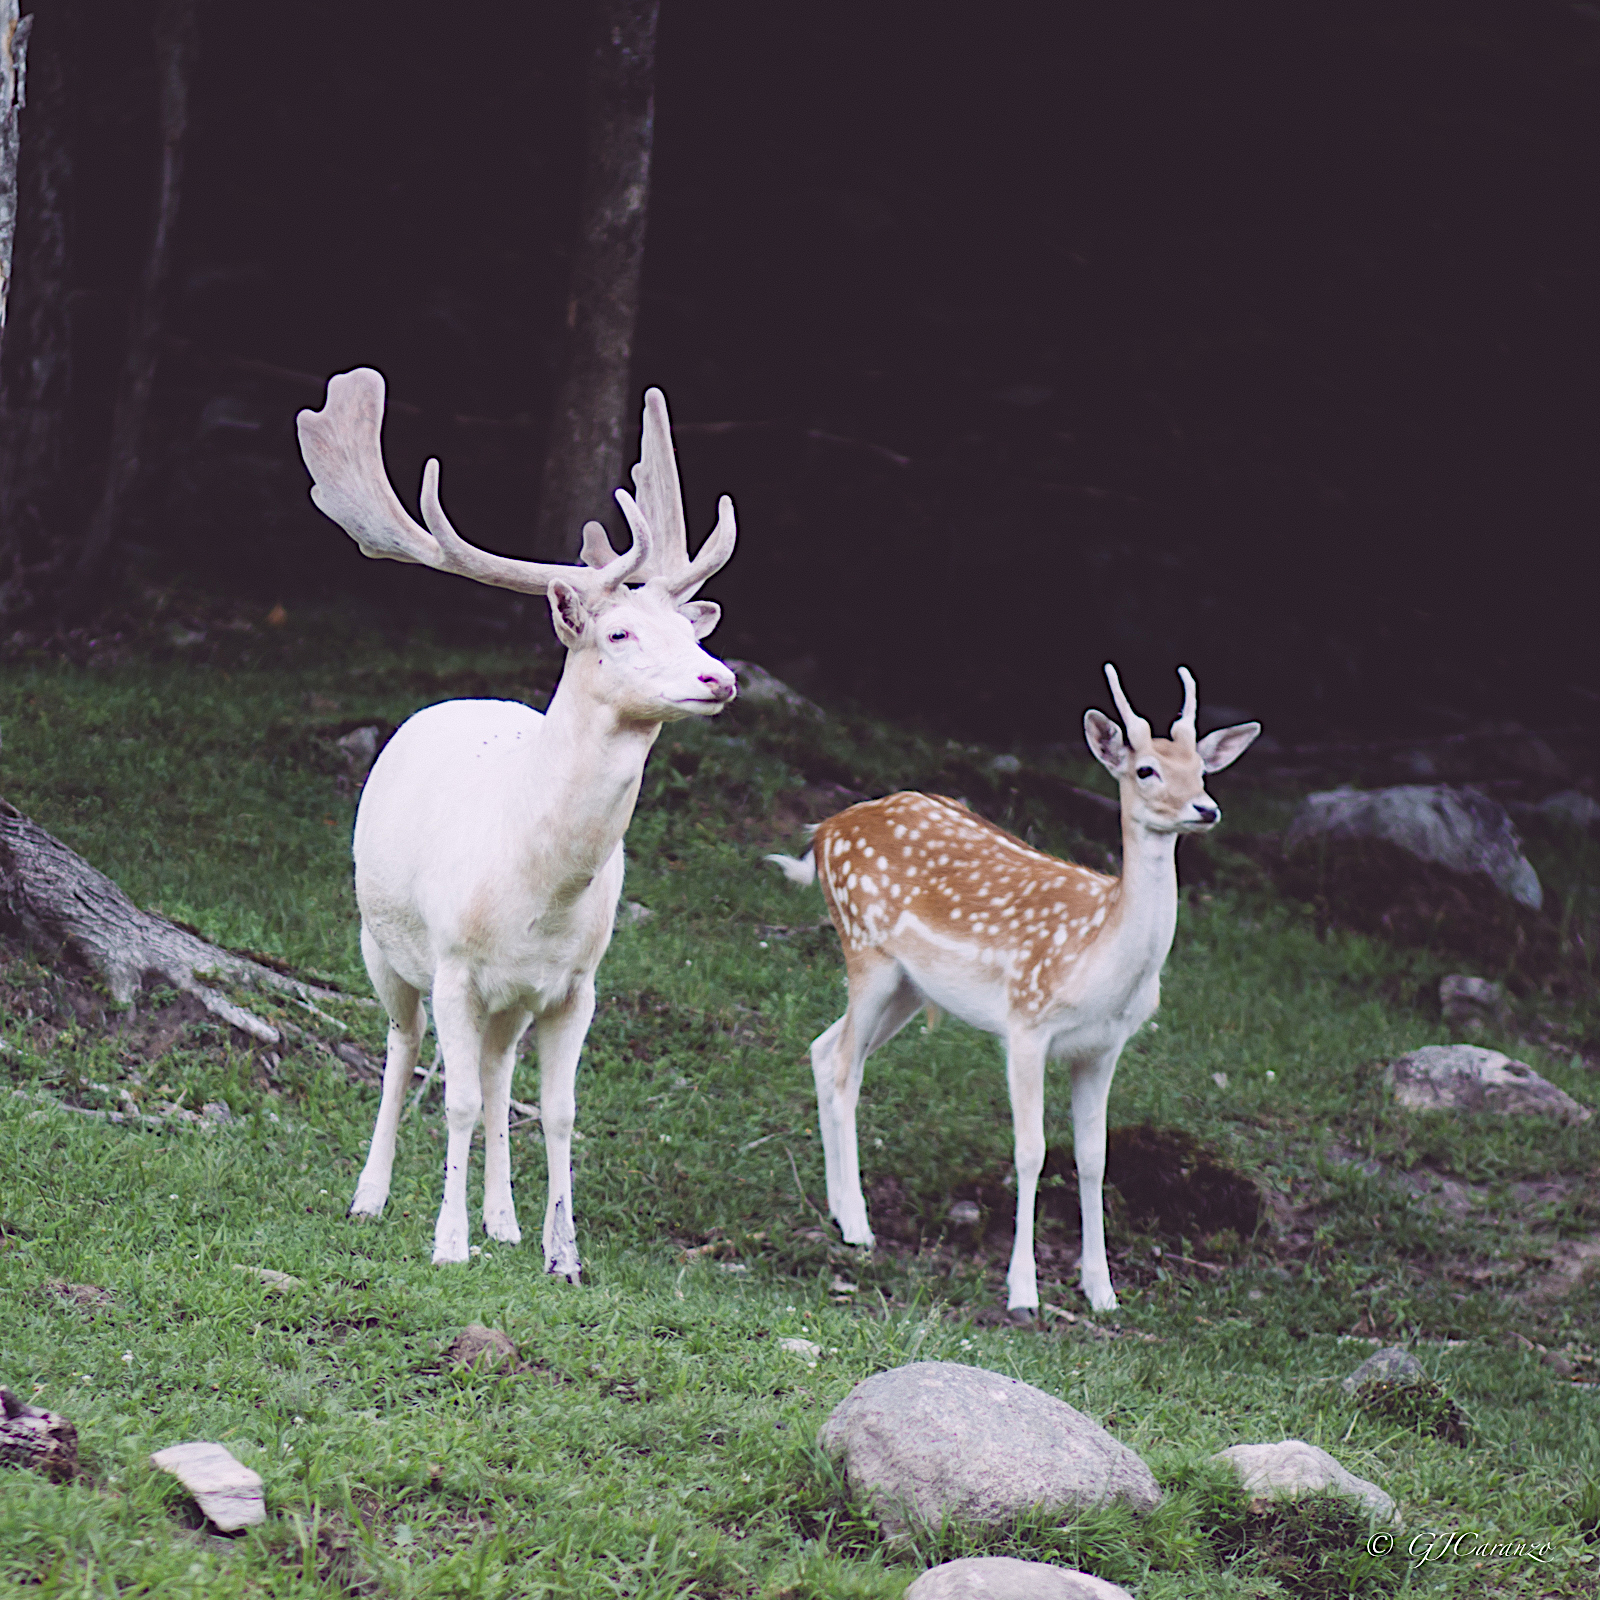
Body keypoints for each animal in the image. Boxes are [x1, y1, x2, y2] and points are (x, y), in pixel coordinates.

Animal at [299, 368, 736, 1280]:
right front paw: (447, 1243)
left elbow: (560, 1110)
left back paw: (502, 1221)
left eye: (688, 631)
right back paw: (371, 1197)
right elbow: (457, 1099)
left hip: (513, 1002)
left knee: (501, 1073)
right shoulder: (455, 964)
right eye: (619, 631)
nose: (719, 679)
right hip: (379, 943)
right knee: (403, 1048)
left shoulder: (578, 981)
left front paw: (562, 1254)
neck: (537, 894)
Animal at [764, 662, 1260, 1312]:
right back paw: (858, 1227)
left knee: (824, 1049)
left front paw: (1101, 1290)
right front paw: (1023, 1290)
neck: (1101, 962)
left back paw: (837, 1207)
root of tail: (824, 831)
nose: (1205, 809)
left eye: (1202, 769)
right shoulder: (1027, 1022)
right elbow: (1031, 1151)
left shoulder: (1104, 1047)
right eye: (1146, 769)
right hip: (865, 949)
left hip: (909, 987)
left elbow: (1094, 1158)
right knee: (846, 1067)